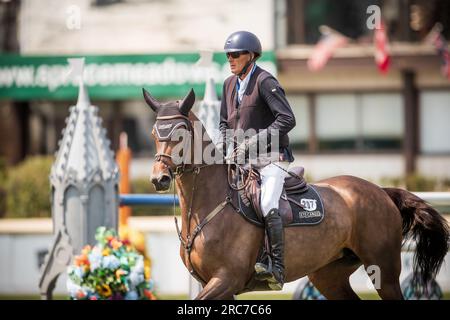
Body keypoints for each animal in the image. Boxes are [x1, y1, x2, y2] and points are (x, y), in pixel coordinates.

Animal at [144, 88, 450, 300]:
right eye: (154, 134)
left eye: (181, 134)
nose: (159, 178)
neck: (209, 205)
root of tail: (381, 192)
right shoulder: (216, 284)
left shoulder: (226, 279)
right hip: (329, 274)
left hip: (383, 270)